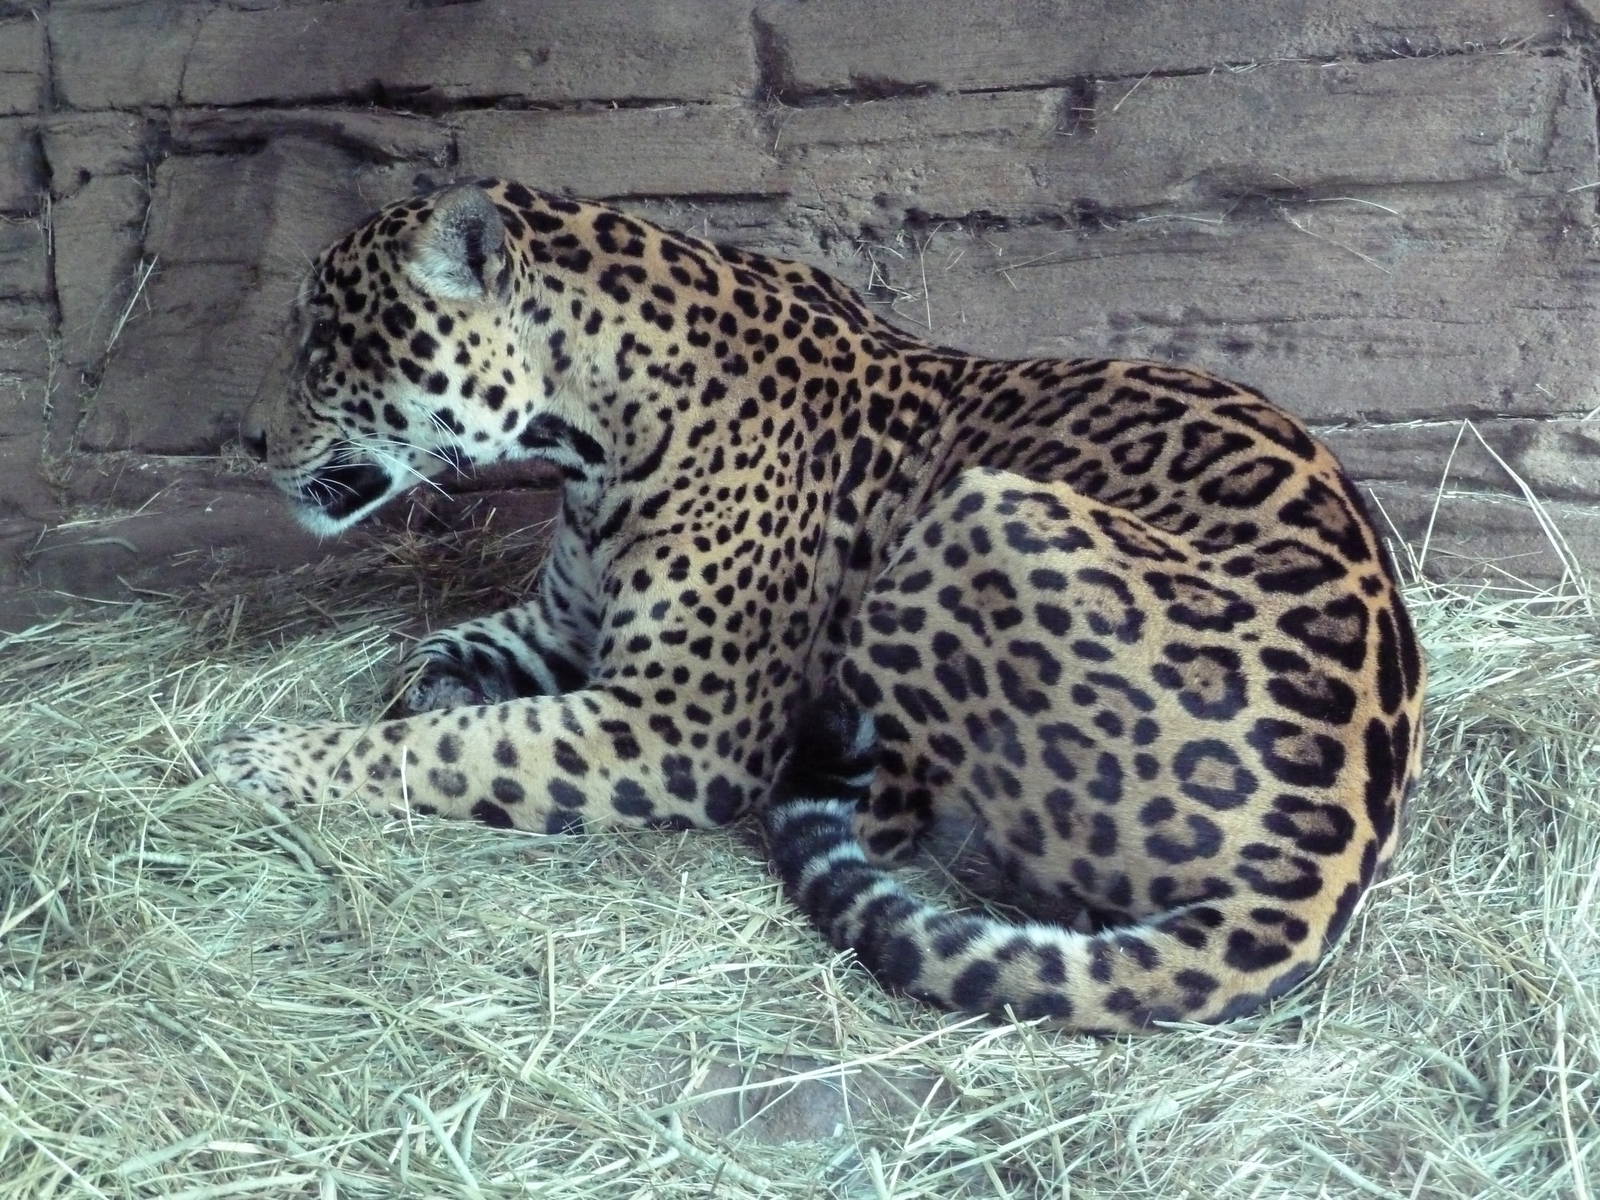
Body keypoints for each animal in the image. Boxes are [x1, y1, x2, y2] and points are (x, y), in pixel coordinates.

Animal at [210, 179, 1425, 1033]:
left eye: (322, 340)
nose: (250, 439)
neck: (589, 429)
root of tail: (1331, 856)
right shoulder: (562, 628)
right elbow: (438, 672)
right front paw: (420, 692)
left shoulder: (678, 727)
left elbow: (461, 749)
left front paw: (267, 758)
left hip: (981, 510)